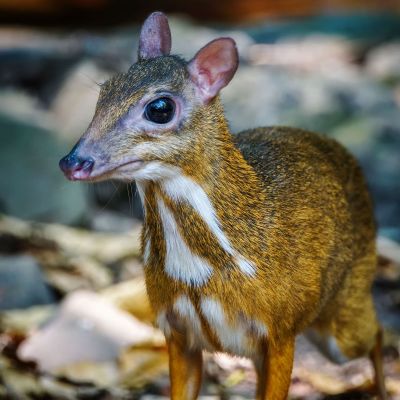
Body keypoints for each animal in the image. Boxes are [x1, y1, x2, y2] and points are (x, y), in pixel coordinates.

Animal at [60, 10, 388, 398]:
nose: (73, 162)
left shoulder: (280, 329)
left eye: (160, 108)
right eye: (104, 91)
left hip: (343, 317)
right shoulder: (176, 330)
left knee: (379, 333)